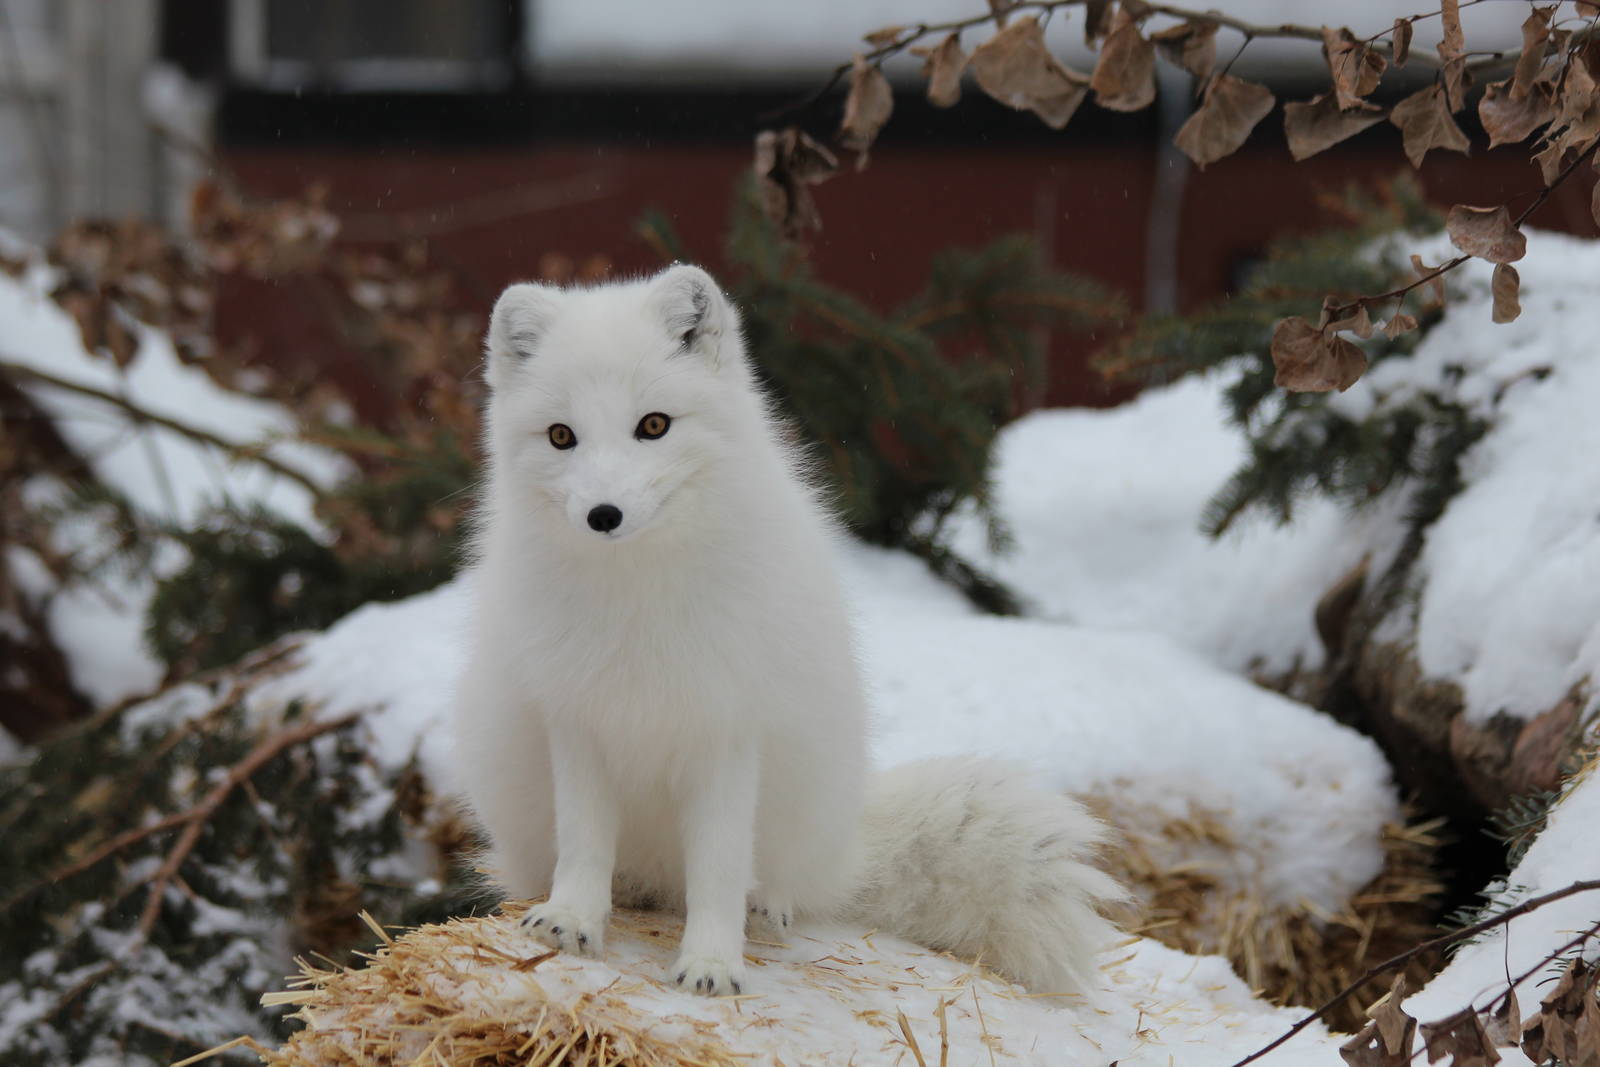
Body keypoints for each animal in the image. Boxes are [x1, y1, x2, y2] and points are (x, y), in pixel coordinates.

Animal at [451, 263, 1123, 997]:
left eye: (653, 425)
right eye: (560, 436)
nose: (604, 514)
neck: (639, 596)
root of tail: (849, 853)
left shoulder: (728, 730)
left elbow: (718, 867)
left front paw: (712, 963)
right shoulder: (577, 720)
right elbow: (582, 842)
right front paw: (571, 919)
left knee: (765, 880)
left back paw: (763, 906)